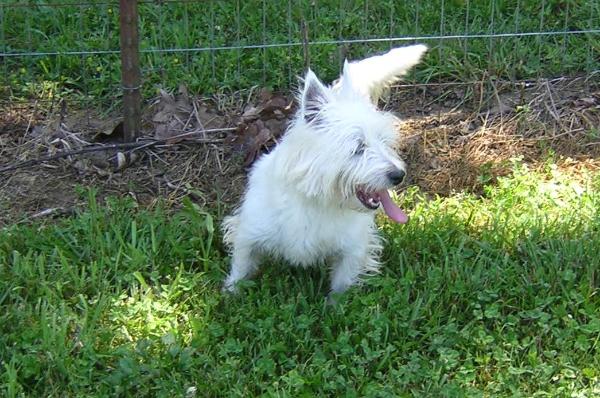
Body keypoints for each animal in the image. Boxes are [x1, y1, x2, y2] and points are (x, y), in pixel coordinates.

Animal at [221, 45, 426, 298]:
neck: (319, 200)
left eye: (385, 142)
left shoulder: (352, 248)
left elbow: (342, 283)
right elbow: (241, 264)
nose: (398, 175)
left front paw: (336, 305)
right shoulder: (250, 232)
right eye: (358, 147)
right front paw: (230, 293)